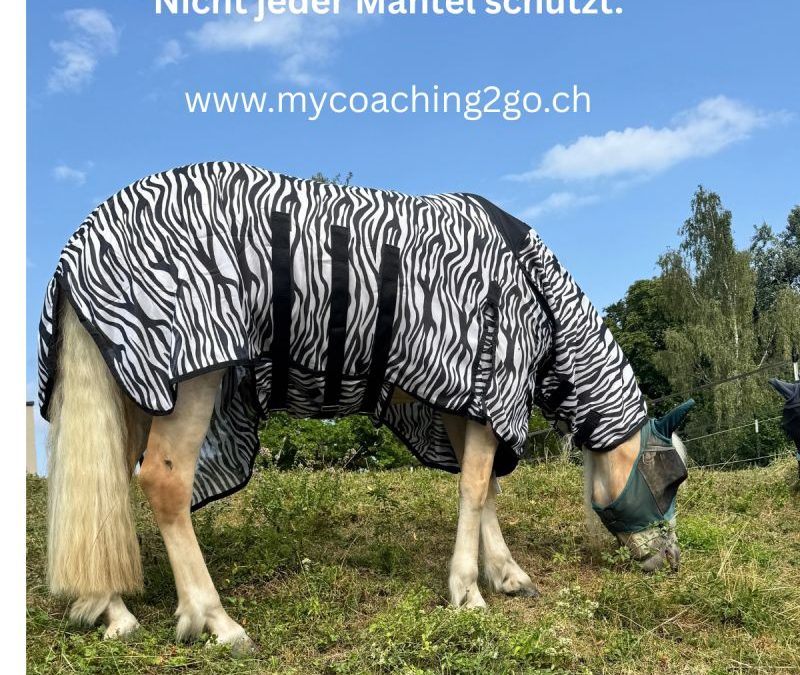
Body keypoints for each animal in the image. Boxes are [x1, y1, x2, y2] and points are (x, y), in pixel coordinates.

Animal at [40, 162, 694, 652]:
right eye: (672, 478)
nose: (670, 560)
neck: (531, 286)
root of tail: (80, 246)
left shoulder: (462, 400)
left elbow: (483, 486)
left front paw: (506, 573)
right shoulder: (487, 384)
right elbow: (475, 486)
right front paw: (468, 591)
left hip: (131, 393)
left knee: (102, 486)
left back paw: (112, 609)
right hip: (193, 377)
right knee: (163, 482)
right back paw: (215, 620)